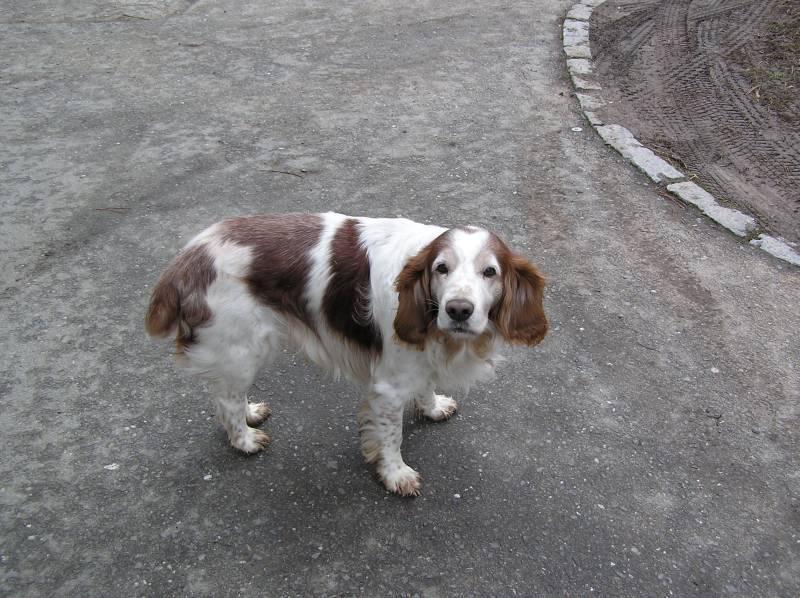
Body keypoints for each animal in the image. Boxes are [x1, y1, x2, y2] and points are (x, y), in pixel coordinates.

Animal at [147, 212, 548, 496]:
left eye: (490, 272)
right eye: (441, 268)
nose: (459, 310)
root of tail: (186, 259)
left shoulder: (418, 359)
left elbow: (426, 387)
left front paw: (433, 408)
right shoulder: (389, 388)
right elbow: (391, 436)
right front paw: (396, 475)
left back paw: (251, 414)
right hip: (243, 347)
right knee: (226, 400)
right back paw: (245, 439)